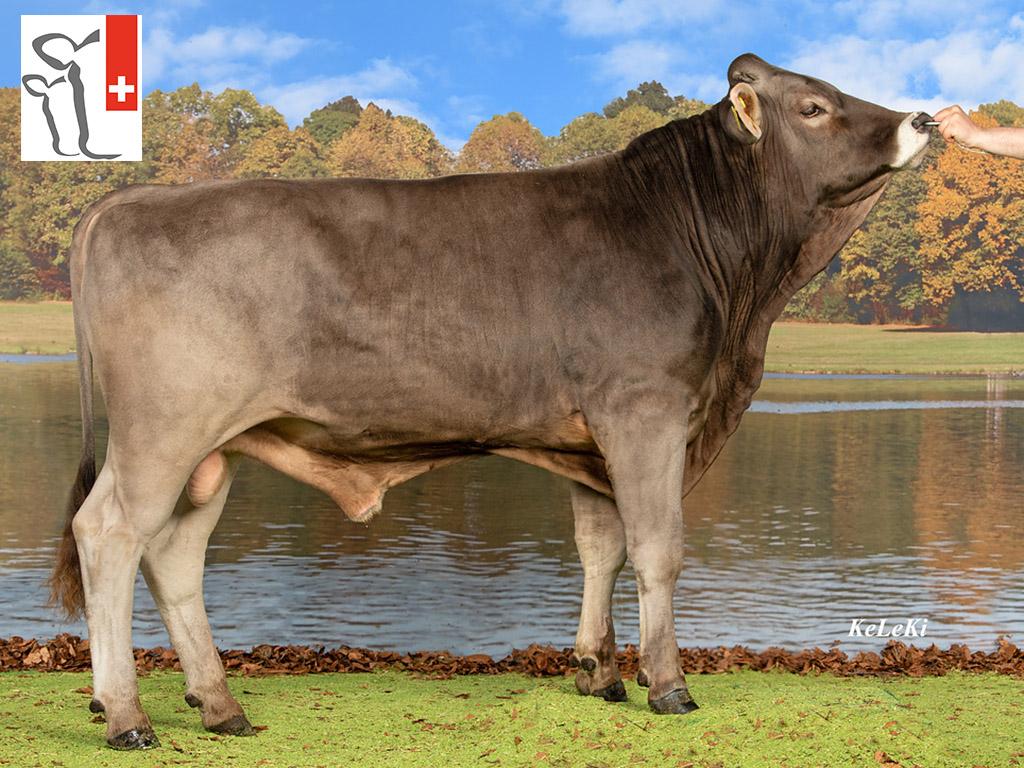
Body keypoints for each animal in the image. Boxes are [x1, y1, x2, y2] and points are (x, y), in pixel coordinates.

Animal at [50, 53, 932, 749]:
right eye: (813, 106)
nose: (922, 117)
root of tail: (132, 199)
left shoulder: (592, 440)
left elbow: (600, 549)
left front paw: (598, 673)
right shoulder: (645, 411)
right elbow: (658, 551)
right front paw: (668, 686)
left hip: (212, 447)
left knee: (173, 554)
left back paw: (220, 704)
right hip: (162, 431)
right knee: (109, 534)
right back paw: (128, 717)